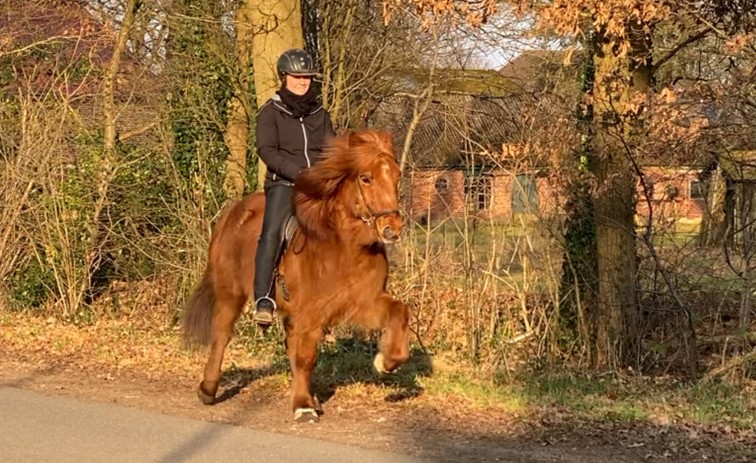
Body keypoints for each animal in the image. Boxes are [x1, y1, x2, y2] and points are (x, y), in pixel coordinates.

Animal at [182, 129, 410, 423]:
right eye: (365, 178)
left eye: (396, 176)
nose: (392, 229)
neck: (346, 246)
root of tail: (233, 212)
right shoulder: (311, 312)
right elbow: (305, 357)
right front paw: (302, 406)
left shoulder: (364, 301)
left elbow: (399, 312)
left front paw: (387, 362)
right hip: (230, 294)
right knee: (221, 336)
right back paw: (208, 389)